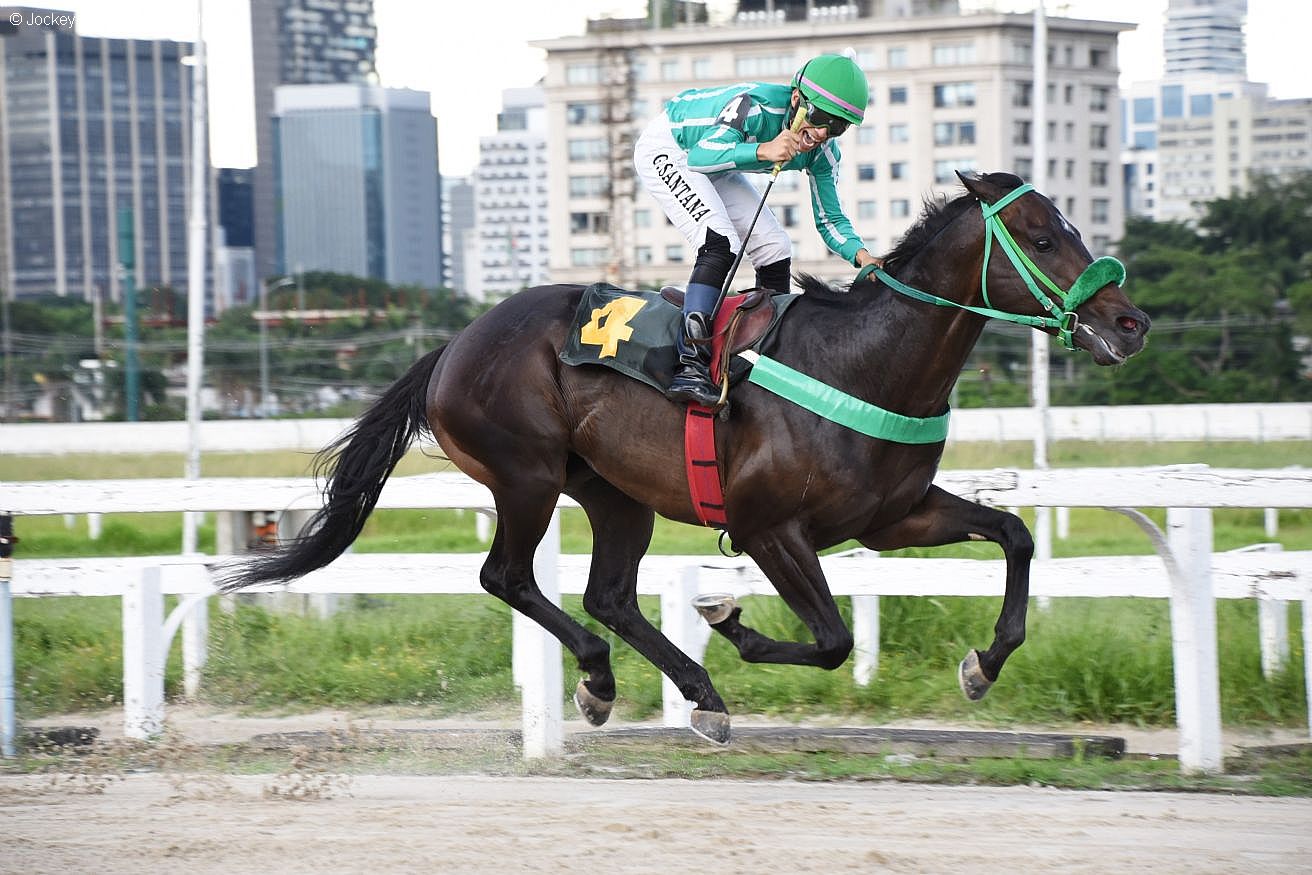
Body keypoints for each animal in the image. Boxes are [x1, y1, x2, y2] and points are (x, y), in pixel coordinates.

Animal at [225, 173, 1149, 745]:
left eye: (1074, 226)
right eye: (1041, 236)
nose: (1131, 321)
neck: (860, 360)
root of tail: (453, 343)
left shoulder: (893, 517)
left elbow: (1015, 535)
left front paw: (982, 665)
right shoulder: (770, 526)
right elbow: (832, 638)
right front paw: (731, 620)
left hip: (613, 493)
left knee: (607, 594)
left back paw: (671, 691)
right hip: (525, 473)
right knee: (507, 576)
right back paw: (615, 678)